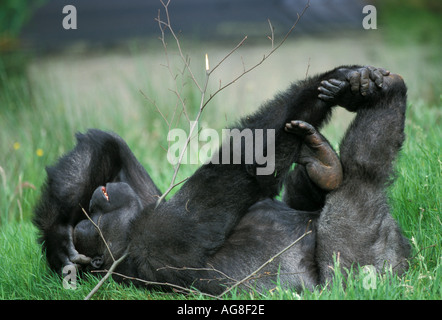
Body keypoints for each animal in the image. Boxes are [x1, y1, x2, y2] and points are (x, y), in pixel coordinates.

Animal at [33, 65, 410, 296]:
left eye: (92, 216)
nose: (96, 200)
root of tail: (403, 263)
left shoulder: (147, 196)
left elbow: (108, 145)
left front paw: (58, 232)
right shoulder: (155, 235)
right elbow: (243, 167)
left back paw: (326, 157)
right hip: (361, 270)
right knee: (362, 176)